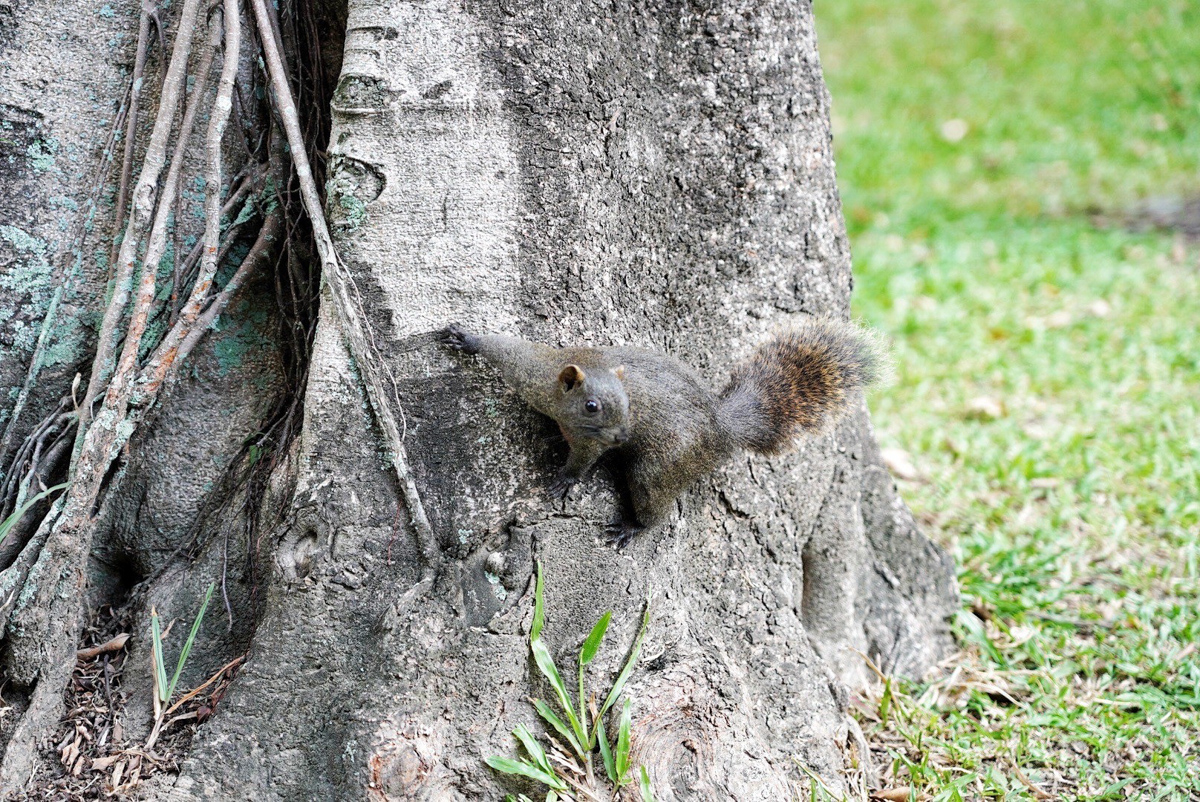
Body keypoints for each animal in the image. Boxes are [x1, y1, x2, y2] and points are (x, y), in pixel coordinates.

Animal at [441, 316, 883, 545]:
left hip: (659, 468)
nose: (622, 437)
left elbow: (584, 460)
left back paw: (632, 527)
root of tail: (721, 431)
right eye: (592, 405)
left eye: (630, 405)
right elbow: (505, 347)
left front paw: (566, 479)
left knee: (656, 505)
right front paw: (467, 339)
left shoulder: (588, 439)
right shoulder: (534, 370)